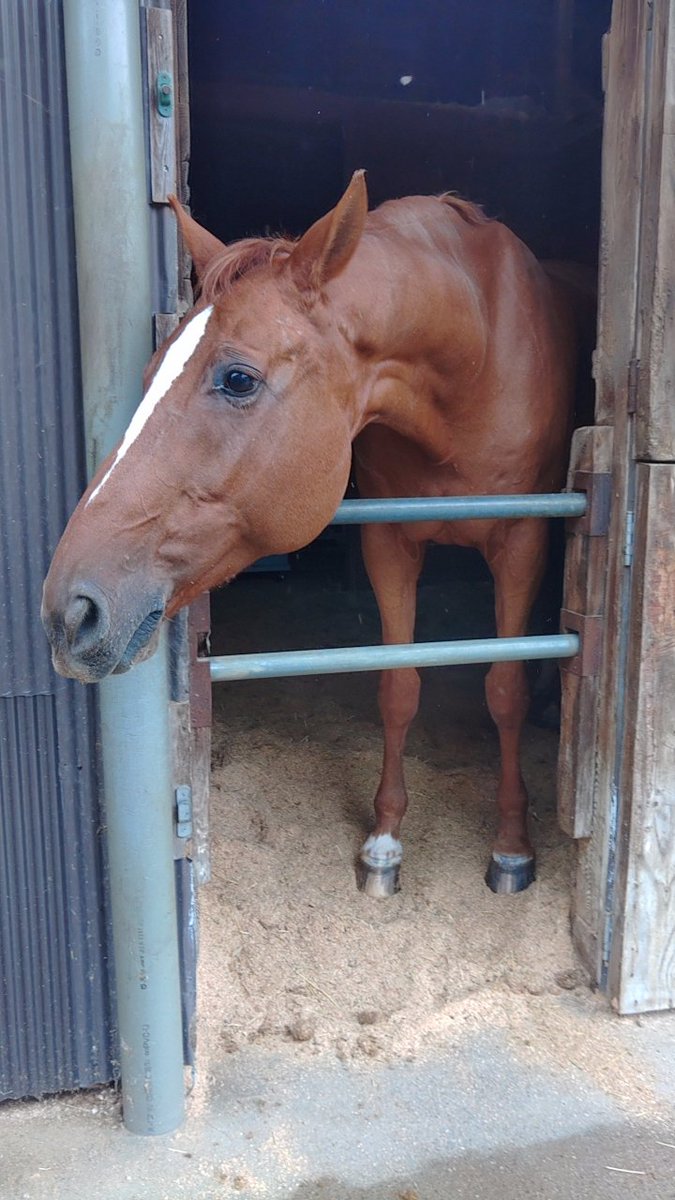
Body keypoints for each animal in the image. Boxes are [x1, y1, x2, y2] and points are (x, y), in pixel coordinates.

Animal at [42, 171, 579, 898]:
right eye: (151, 372)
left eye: (238, 378)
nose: (69, 611)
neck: (475, 354)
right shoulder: (388, 544)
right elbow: (397, 687)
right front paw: (384, 844)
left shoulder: (521, 542)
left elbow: (504, 690)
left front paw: (512, 848)